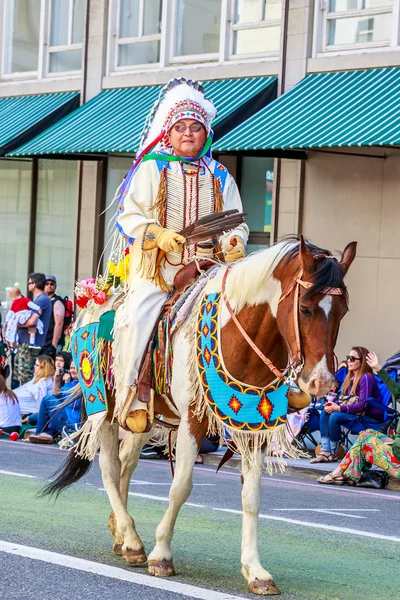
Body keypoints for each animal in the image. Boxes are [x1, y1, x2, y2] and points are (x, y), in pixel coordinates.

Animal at [44, 238, 356, 596]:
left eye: (343, 311)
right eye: (304, 308)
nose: (322, 382)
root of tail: (93, 300)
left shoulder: (255, 429)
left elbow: (252, 497)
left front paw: (256, 571)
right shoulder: (193, 420)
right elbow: (180, 487)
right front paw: (161, 555)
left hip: (139, 414)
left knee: (126, 462)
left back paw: (122, 535)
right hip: (105, 406)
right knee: (110, 468)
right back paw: (133, 541)